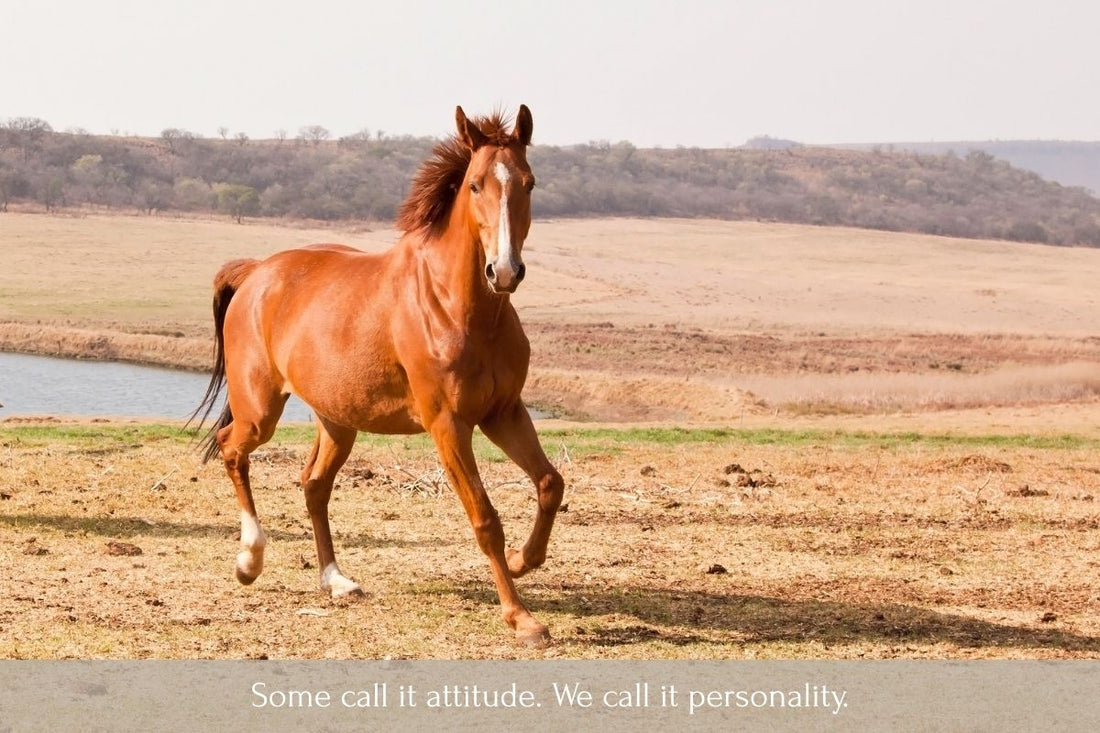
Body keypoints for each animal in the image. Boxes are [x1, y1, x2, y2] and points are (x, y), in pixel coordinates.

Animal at [190, 105, 564, 647]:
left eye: (529, 183)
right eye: (475, 185)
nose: (505, 271)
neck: (457, 306)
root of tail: (256, 272)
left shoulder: (504, 413)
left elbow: (550, 483)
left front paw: (521, 560)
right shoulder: (448, 425)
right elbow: (485, 518)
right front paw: (522, 618)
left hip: (337, 421)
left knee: (313, 484)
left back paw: (336, 581)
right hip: (260, 411)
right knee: (231, 448)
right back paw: (249, 561)